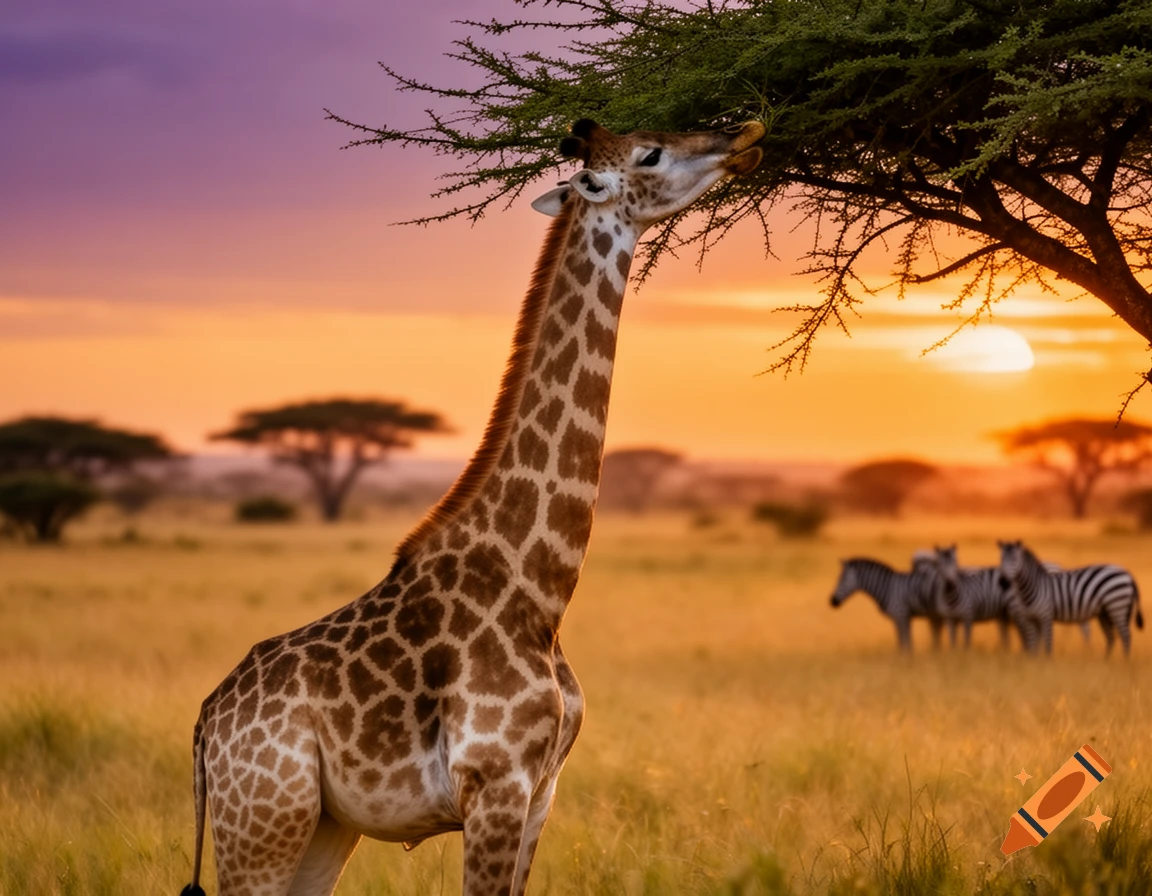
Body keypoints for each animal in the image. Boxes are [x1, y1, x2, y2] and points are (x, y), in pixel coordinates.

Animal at [180, 117, 765, 896]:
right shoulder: (495, 784)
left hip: (322, 828)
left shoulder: (542, 791)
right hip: (263, 826)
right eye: (651, 152)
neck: (538, 589)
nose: (745, 135)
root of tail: (207, 724)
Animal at [997, 539, 1145, 656]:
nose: (1002, 582)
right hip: (1105, 612)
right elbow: (1035, 645)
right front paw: (1034, 664)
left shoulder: (1046, 616)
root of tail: (1128, 574)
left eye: (1014, 560)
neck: (1034, 586)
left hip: (1117, 606)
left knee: (1126, 636)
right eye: (1001, 559)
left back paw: (1124, 662)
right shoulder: (1032, 619)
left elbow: (1047, 644)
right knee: (1111, 637)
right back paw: (1106, 662)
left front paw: (1046, 666)